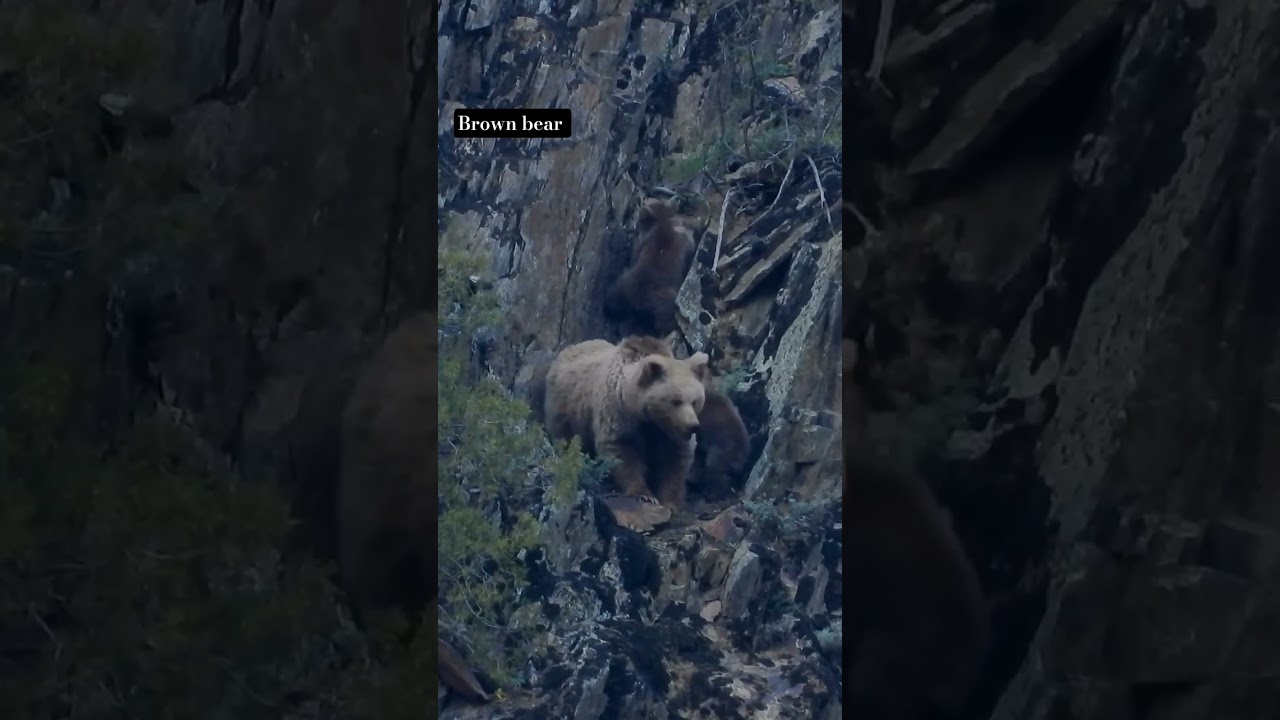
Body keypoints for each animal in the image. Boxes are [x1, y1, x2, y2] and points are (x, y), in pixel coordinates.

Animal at [543, 334, 709, 509]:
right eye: (676, 401)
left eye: (695, 401)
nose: (692, 426)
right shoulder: (619, 414)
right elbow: (623, 452)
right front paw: (644, 494)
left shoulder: (668, 434)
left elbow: (675, 459)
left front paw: (670, 501)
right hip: (566, 410)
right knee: (564, 437)